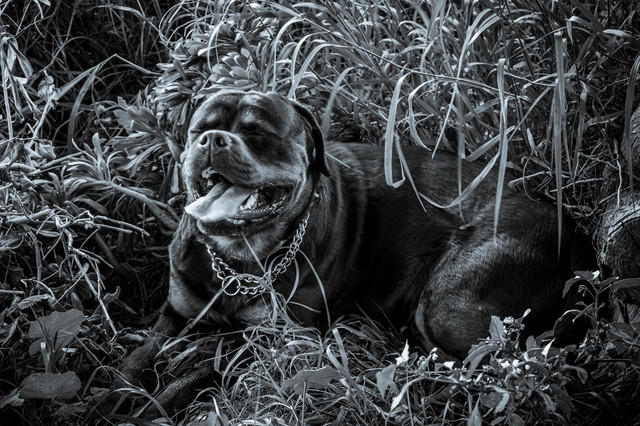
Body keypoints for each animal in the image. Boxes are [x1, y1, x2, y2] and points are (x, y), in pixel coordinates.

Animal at [102, 90, 593, 418]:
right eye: (199, 130)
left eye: (258, 134)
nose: (212, 141)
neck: (239, 259)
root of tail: (572, 232)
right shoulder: (175, 312)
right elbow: (135, 360)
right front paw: (114, 395)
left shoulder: (271, 341)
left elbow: (200, 372)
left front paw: (152, 406)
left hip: (447, 305)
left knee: (501, 369)